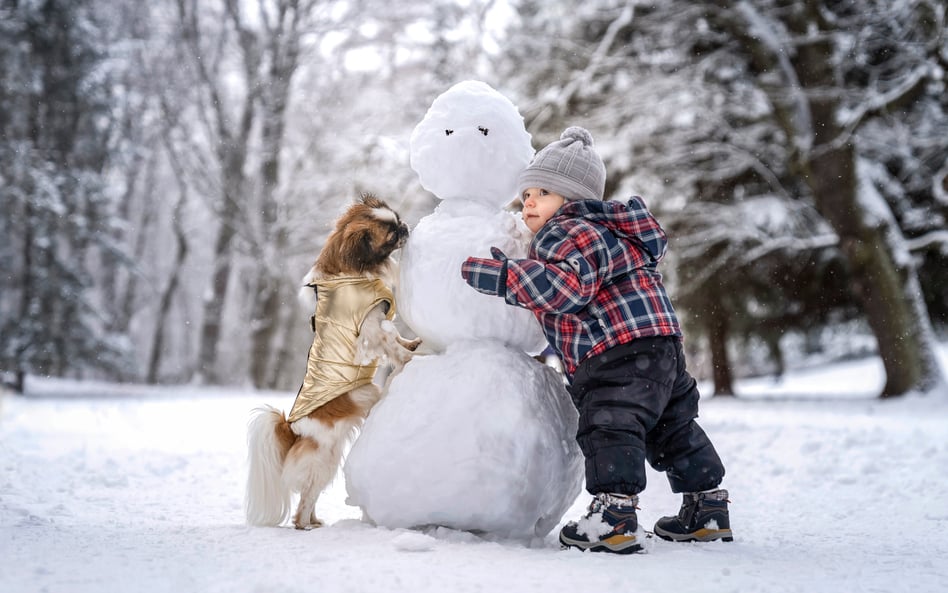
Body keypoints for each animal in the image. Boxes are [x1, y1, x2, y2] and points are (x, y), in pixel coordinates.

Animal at [244, 194, 418, 528]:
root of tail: (293, 430)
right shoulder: (371, 327)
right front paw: (410, 359)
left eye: (397, 218)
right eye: (390, 236)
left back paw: (315, 522)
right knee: (302, 504)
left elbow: (399, 340)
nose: (405, 226)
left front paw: (414, 344)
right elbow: (394, 348)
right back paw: (306, 526)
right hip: (325, 458)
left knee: (308, 498)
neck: (351, 273)